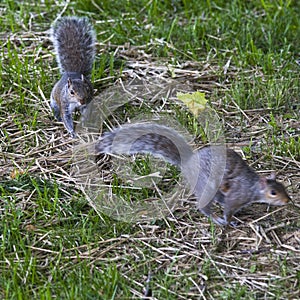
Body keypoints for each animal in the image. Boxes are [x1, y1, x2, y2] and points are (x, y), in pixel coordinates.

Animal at [94, 122, 290, 225]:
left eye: (284, 187)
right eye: (273, 193)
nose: (288, 200)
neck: (253, 186)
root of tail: (188, 163)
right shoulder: (236, 196)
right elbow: (228, 210)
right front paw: (229, 221)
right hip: (206, 187)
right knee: (204, 207)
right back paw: (216, 218)